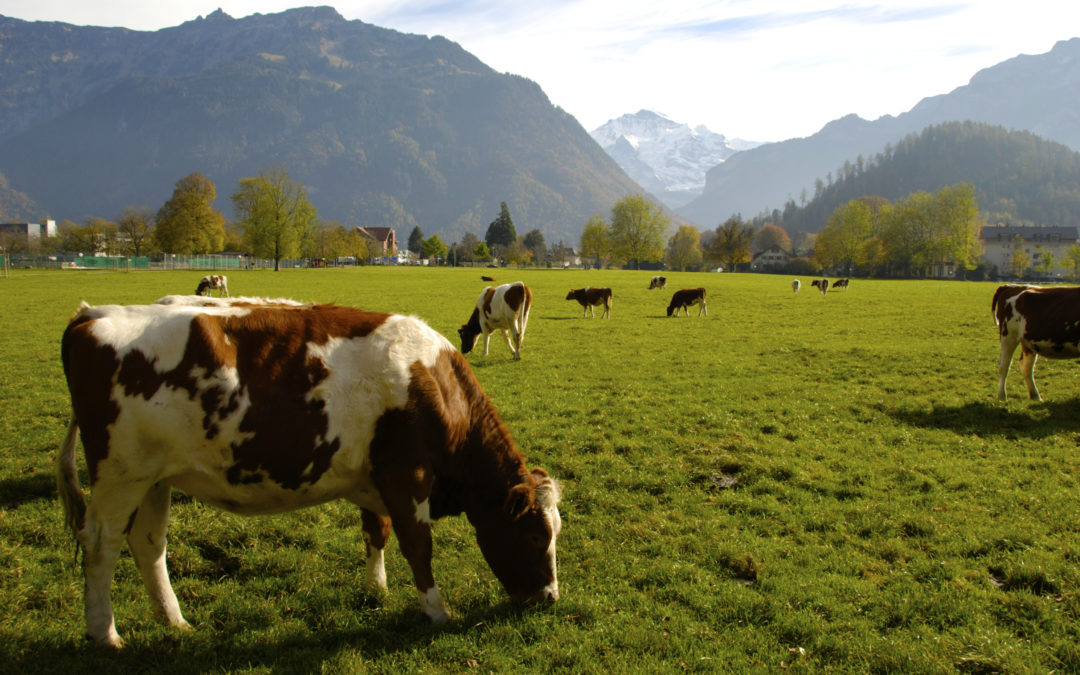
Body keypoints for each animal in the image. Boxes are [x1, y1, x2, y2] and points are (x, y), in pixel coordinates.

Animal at [56, 298, 565, 643]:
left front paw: (376, 589)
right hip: (120, 474)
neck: (436, 387)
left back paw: (174, 620)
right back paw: (105, 633)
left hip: (154, 476)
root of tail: (92, 314)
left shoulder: (374, 477)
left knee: (148, 544)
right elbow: (419, 547)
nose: (549, 598)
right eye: (535, 536)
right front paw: (436, 611)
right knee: (101, 542)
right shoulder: (407, 474)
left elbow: (375, 532)